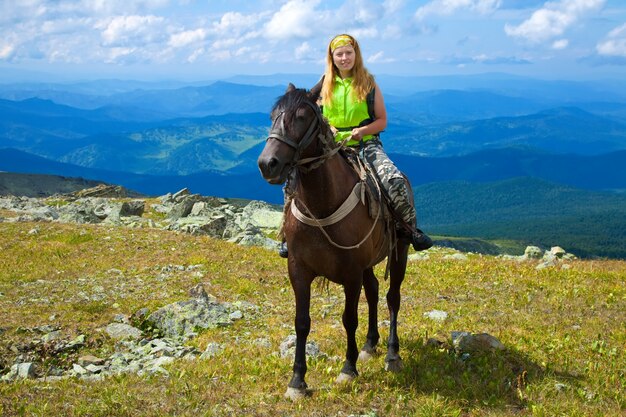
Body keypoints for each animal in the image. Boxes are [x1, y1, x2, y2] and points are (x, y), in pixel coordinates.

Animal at [256, 84, 408, 400]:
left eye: (302, 117)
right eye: (273, 116)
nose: (267, 164)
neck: (323, 203)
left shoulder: (350, 273)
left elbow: (348, 318)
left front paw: (348, 369)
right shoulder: (298, 270)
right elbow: (302, 322)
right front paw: (297, 381)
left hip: (400, 252)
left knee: (392, 298)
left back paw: (392, 354)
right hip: (367, 264)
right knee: (374, 291)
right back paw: (369, 345)